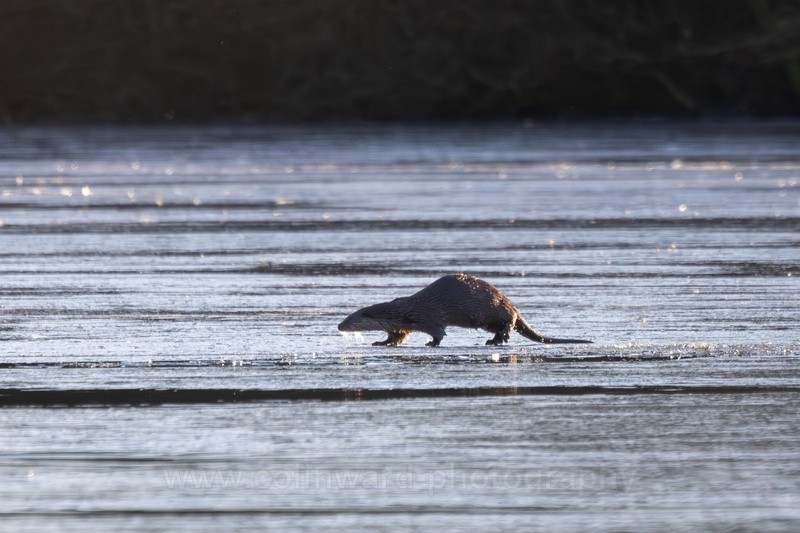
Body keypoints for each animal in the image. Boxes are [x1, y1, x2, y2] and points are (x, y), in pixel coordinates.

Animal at [338, 274, 592, 347]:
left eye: (351, 319)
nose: (339, 326)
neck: (401, 312)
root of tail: (509, 302)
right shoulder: (401, 326)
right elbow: (396, 337)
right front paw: (382, 343)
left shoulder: (427, 318)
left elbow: (438, 332)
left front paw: (431, 344)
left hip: (492, 311)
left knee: (508, 323)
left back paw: (500, 338)